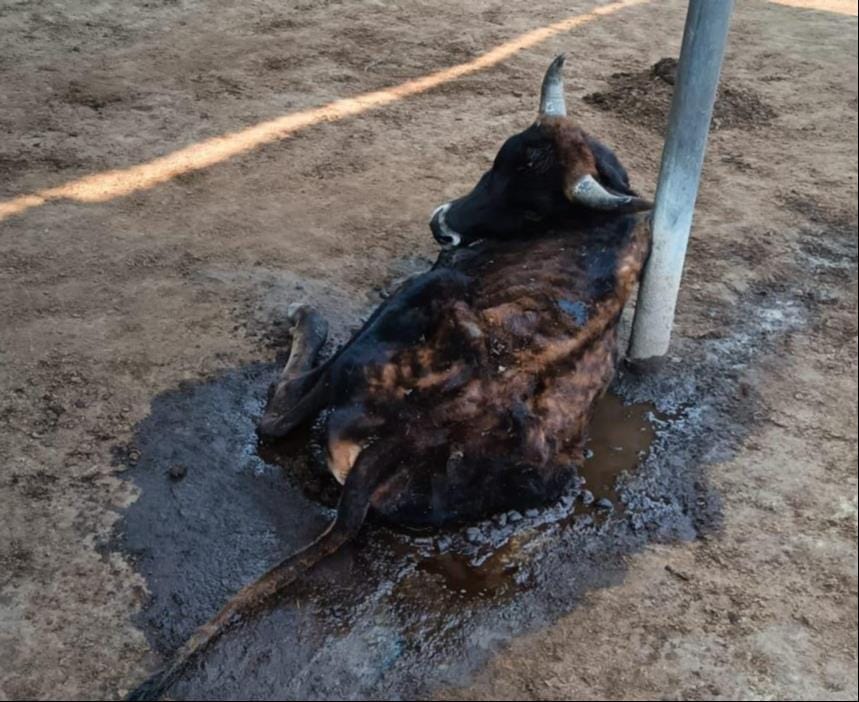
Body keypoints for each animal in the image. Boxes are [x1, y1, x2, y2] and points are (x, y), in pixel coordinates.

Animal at [128, 55, 652, 700]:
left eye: (533, 208)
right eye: (498, 158)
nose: (443, 226)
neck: (597, 231)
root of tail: (418, 432)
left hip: (417, 295)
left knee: (280, 414)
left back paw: (308, 319)